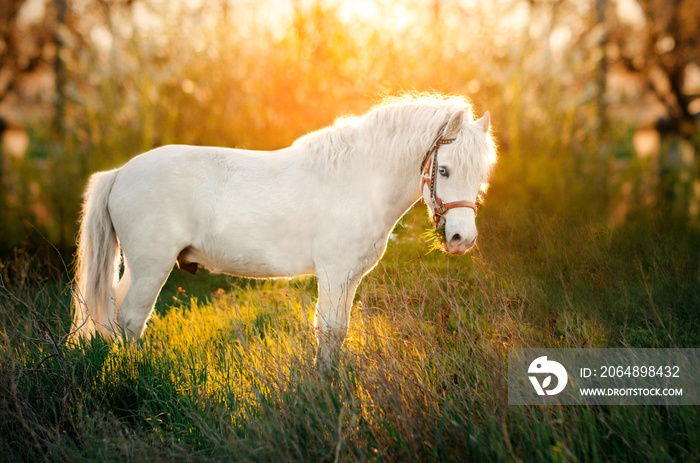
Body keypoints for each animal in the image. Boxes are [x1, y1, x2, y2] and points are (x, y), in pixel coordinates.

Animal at [72, 93, 498, 370]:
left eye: (481, 172)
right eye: (443, 170)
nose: (462, 239)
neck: (358, 180)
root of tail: (121, 173)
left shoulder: (349, 277)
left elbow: (338, 330)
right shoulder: (333, 273)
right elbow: (328, 329)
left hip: (137, 269)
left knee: (112, 315)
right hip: (152, 267)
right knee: (130, 320)